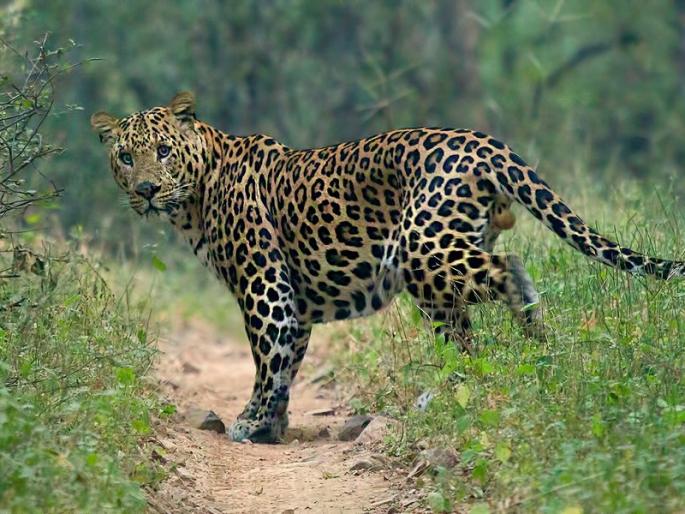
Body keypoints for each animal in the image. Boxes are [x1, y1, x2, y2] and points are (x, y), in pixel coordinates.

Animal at [91, 92, 685, 443]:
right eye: (127, 157)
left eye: (164, 152)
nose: (147, 190)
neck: (196, 196)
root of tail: (487, 142)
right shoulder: (295, 303)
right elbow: (287, 363)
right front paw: (273, 426)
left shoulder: (265, 287)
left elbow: (266, 360)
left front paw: (249, 422)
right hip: (436, 271)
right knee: (464, 335)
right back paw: (451, 392)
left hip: (424, 247)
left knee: (510, 269)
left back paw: (538, 344)